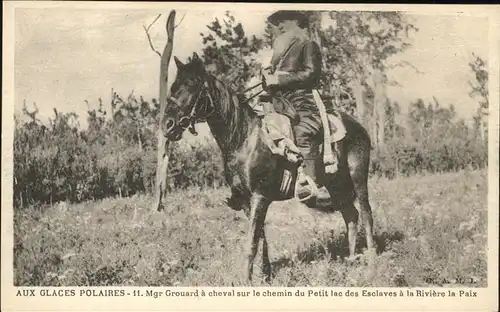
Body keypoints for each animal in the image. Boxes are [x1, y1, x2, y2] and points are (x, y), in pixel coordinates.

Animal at [164, 53, 376, 282]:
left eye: (192, 85)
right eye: (173, 87)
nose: (167, 125)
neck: (244, 138)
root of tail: (359, 127)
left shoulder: (260, 197)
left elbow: (251, 242)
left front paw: (246, 281)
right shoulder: (248, 201)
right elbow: (260, 238)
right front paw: (265, 274)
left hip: (357, 177)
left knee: (366, 214)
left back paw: (372, 263)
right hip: (336, 184)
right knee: (351, 216)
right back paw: (351, 260)